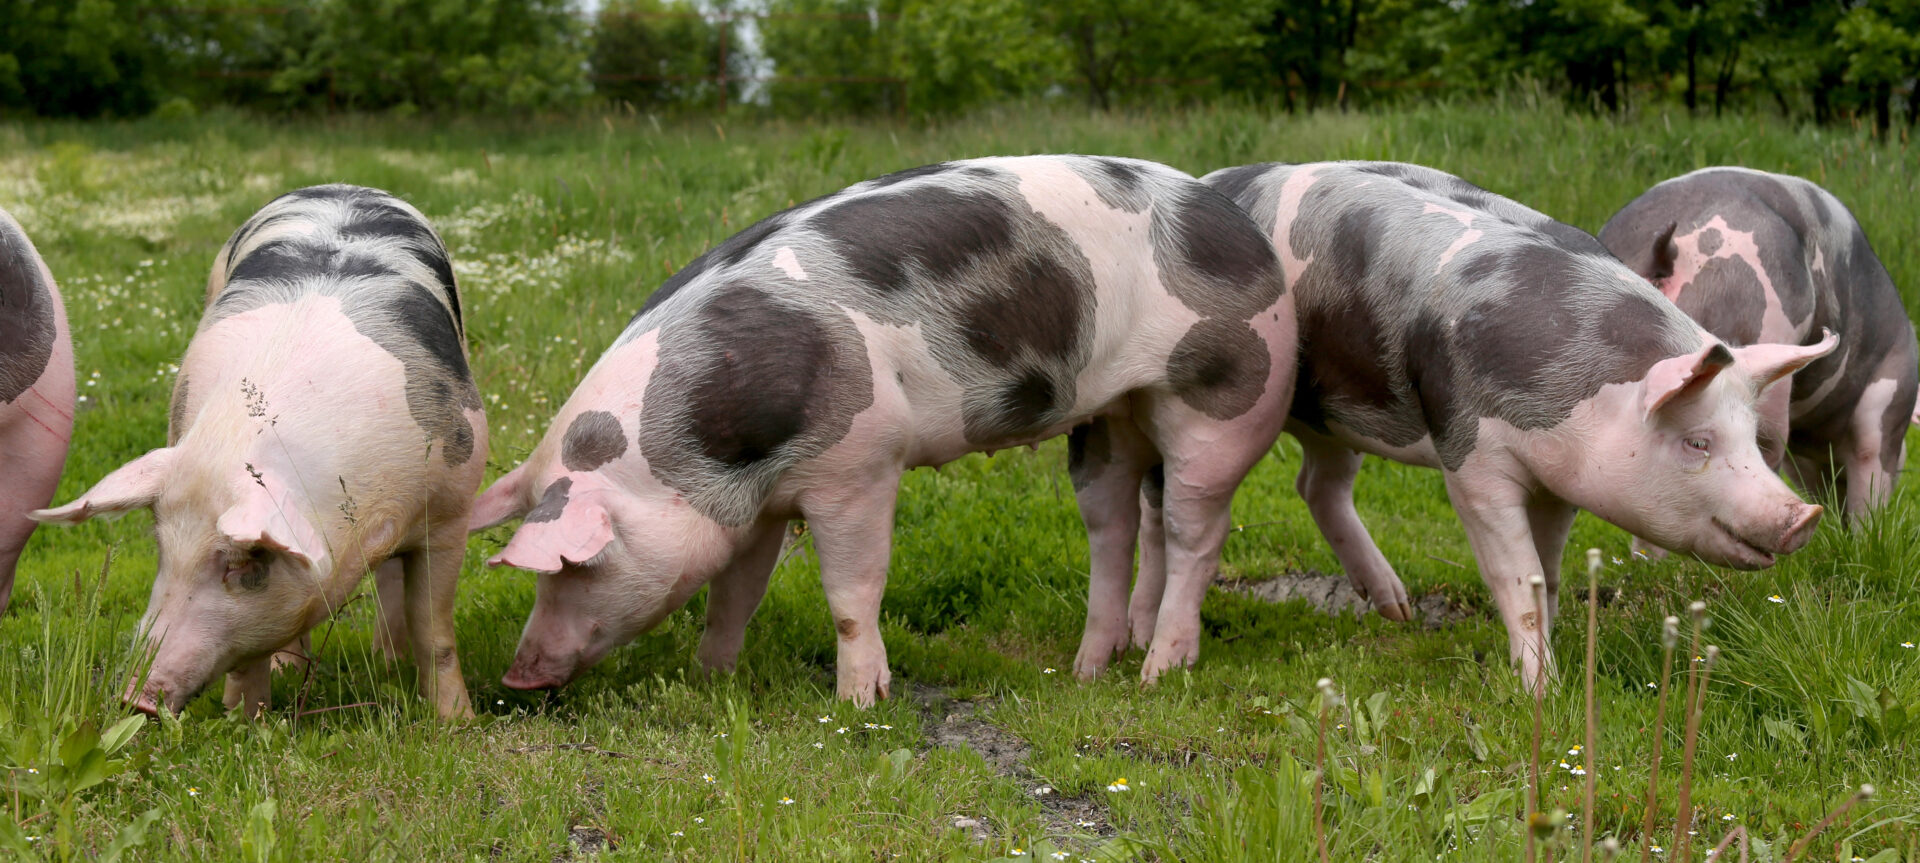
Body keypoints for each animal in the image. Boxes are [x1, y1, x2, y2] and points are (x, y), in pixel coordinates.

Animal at [33, 185, 487, 719]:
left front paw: (456, 723)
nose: (136, 699)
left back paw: (386, 660)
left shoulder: (453, 506)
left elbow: (433, 628)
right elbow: (251, 653)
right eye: (162, 548)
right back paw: (296, 670)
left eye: (242, 562)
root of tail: (341, 187)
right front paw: (246, 719)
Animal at [470, 155, 1297, 704]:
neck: (704, 459)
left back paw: (1160, 670)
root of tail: (1239, 222)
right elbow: (736, 591)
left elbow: (852, 588)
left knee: (1197, 534)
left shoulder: (862, 461)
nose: (516, 671)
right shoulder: (757, 503)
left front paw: (860, 701)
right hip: (1111, 415)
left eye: (576, 567)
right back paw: (1090, 667)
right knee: (1117, 526)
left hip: (1224, 397)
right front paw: (712, 677)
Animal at [1197, 161, 1831, 687]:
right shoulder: (1470, 458)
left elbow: (1547, 573)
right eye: (1696, 441)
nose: (1803, 516)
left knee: (1317, 486)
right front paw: (1541, 693)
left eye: (1752, 440)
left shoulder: (1562, 479)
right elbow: (1515, 575)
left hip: (1336, 412)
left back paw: (1398, 611)